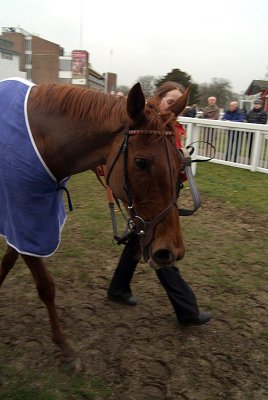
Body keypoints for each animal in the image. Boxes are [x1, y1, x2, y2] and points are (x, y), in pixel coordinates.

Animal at [0, 77, 188, 368]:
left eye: (181, 162)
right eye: (141, 162)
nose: (171, 251)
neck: (40, 139)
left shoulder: (23, 219)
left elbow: (8, 260)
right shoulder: (23, 217)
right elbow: (45, 286)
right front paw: (64, 345)